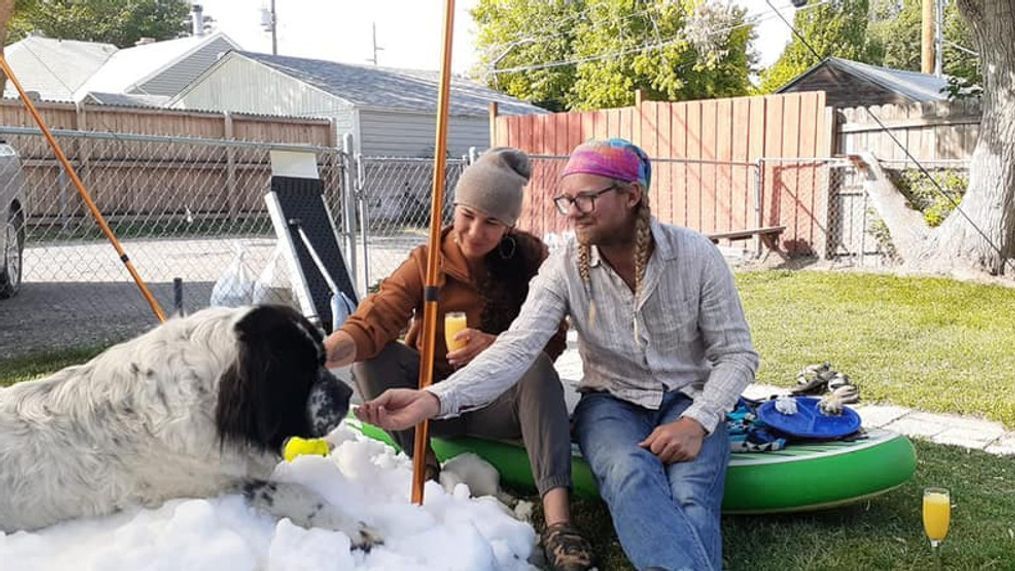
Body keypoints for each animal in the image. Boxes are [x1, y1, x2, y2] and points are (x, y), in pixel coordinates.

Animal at [0, 306, 377, 547]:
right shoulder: (213, 485)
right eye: (301, 372)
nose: (346, 393)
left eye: (323, 359)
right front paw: (355, 529)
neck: (208, 394)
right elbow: (296, 492)